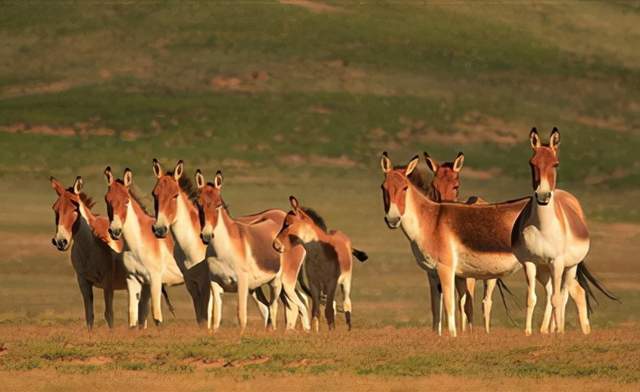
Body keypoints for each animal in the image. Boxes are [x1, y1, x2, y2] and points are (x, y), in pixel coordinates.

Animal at [50, 177, 127, 328]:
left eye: (75, 209)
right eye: (55, 208)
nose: (60, 241)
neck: (89, 247)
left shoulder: (108, 284)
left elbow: (109, 315)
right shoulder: (83, 283)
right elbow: (89, 316)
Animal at [272, 196, 368, 330]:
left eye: (287, 224)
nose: (275, 244)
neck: (318, 254)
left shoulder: (332, 283)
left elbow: (328, 311)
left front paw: (331, 332)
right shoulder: (314, 284)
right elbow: (316, 311)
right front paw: (315, 331)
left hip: (345, 282)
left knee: (346, 304)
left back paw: (348, 329)